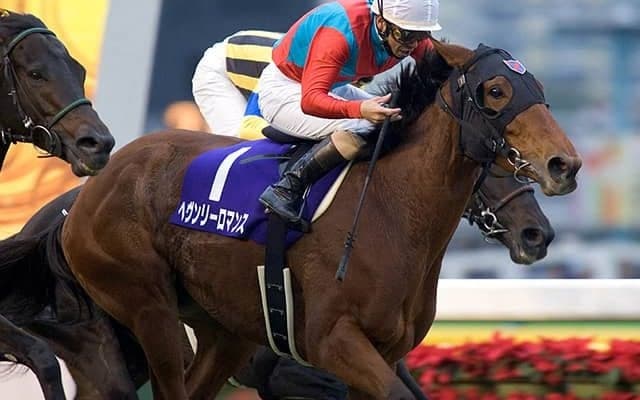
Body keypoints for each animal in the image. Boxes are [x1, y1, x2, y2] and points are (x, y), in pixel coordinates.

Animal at [60, 39, 580, 399]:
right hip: (147, 307)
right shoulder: (331, 340)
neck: (390, 209)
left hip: (222, 332)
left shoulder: (383, 351)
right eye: (496, 90)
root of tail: (94, 187)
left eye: (539, 90)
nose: (565, 165)